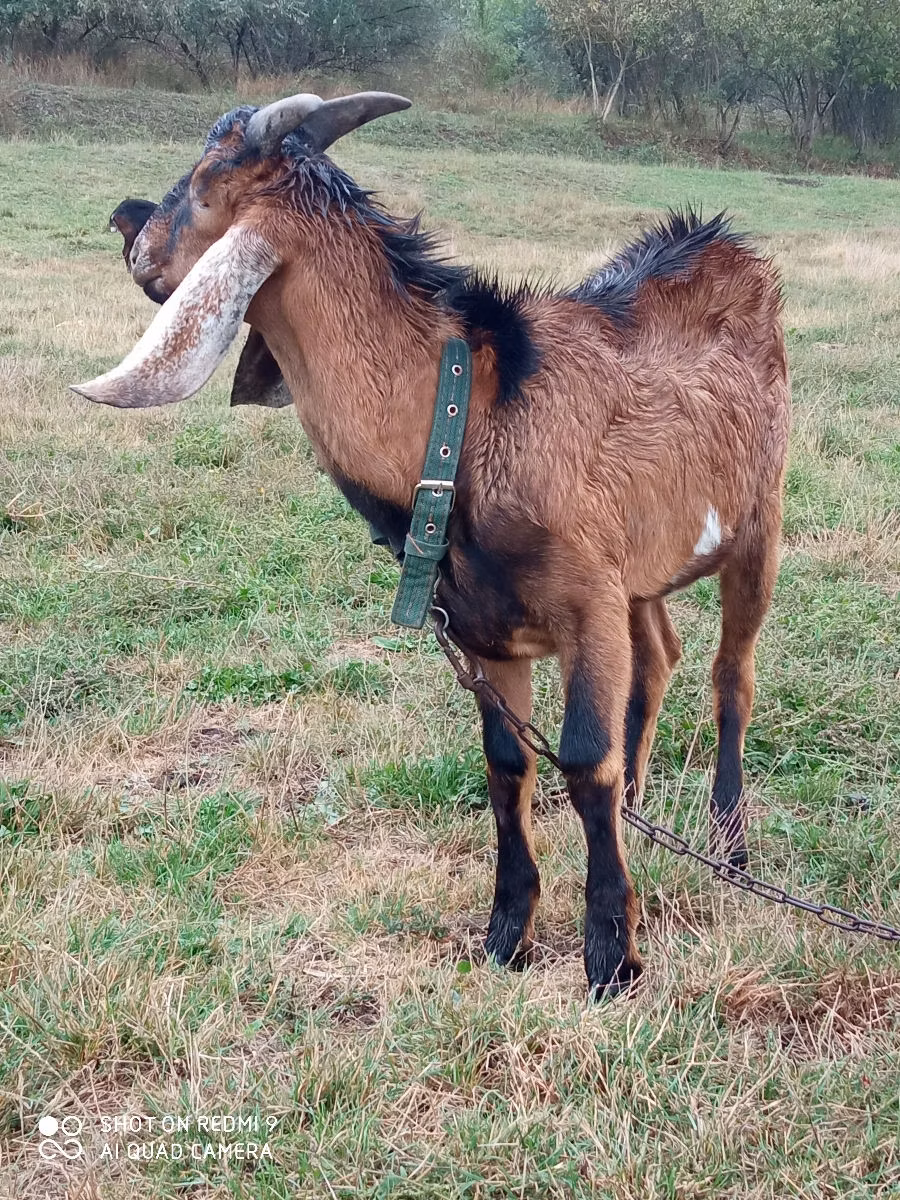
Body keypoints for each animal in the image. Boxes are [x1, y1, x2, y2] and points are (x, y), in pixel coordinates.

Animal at [73, 91, 790, 997]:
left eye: (203, 185)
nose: (126, 219)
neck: (464, 418)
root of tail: (729, 243)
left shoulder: (585, 604)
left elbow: (583, 761)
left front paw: (611, 954)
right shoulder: (494, 631)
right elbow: (507, 764)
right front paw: (506, 933)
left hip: (760, 522)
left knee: (732, 675)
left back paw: (731, 846)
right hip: (643, 563)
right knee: (660, 654)